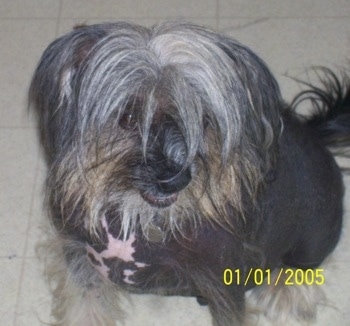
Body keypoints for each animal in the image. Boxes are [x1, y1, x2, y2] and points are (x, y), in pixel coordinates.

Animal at [30, 21, 350, 324]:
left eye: (204, 119)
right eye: (129, 116)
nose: (174, 180)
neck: (140, 219)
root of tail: (315, 132)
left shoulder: (225, 284)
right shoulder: (80, 259)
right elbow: (85, 308)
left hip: (312, 236)